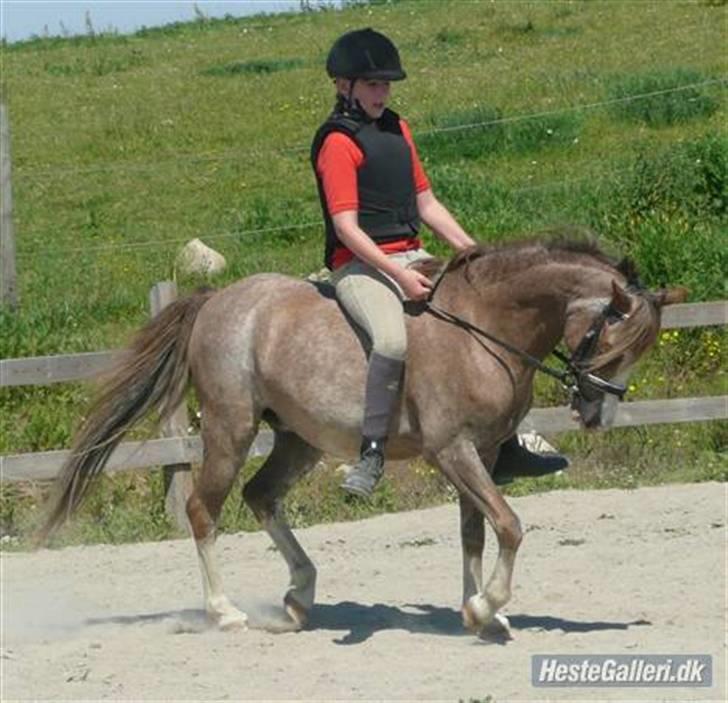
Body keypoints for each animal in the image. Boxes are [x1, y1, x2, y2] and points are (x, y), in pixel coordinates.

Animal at [37, 235, 686, 638]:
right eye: (614, 344)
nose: (599, 414)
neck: (485, 328)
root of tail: (218, 298)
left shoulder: (474, 453)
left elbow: (474, 533)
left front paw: (479, 614)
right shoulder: (453, 450)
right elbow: (508, 526)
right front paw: (488, 606)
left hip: (299, 438)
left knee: (260, 496)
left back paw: (300, 595)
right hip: (230, 426)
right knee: (204, 509)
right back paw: (225, 613)